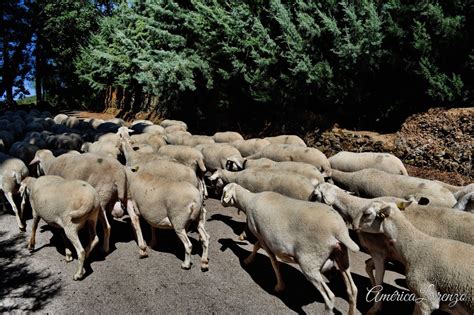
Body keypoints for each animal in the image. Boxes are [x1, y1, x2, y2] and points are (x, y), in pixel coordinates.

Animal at [220, 184, 358, 314]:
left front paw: (279, 286)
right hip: (341, 256)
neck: (248, 200)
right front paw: (248, 260)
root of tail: (338, 231)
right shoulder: (262, 237)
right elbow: (256, 247)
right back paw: (351, 311)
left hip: (310, 262)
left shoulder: (263, 237)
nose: (221, 202)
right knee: (352, 290)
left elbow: (272, 261)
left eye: (223, 191)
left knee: (329, 298)